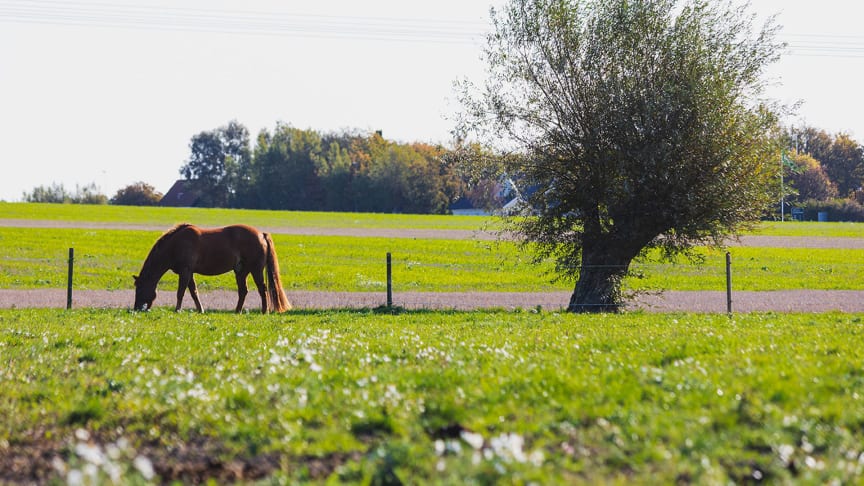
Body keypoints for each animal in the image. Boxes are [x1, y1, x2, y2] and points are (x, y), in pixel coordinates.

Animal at [132, 225, 292, 316]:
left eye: (139, 289)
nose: (137, 308)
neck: (175, 245)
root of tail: (261, 235)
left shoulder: (185, 271)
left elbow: (181, 292)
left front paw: (177, 310)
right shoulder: (189, 273)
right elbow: (193, 292)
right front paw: (200, 310)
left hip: (256, 270)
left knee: (262, 289)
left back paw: (264, 311)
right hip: (241, 272)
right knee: (243, 291)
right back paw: (237, 311)